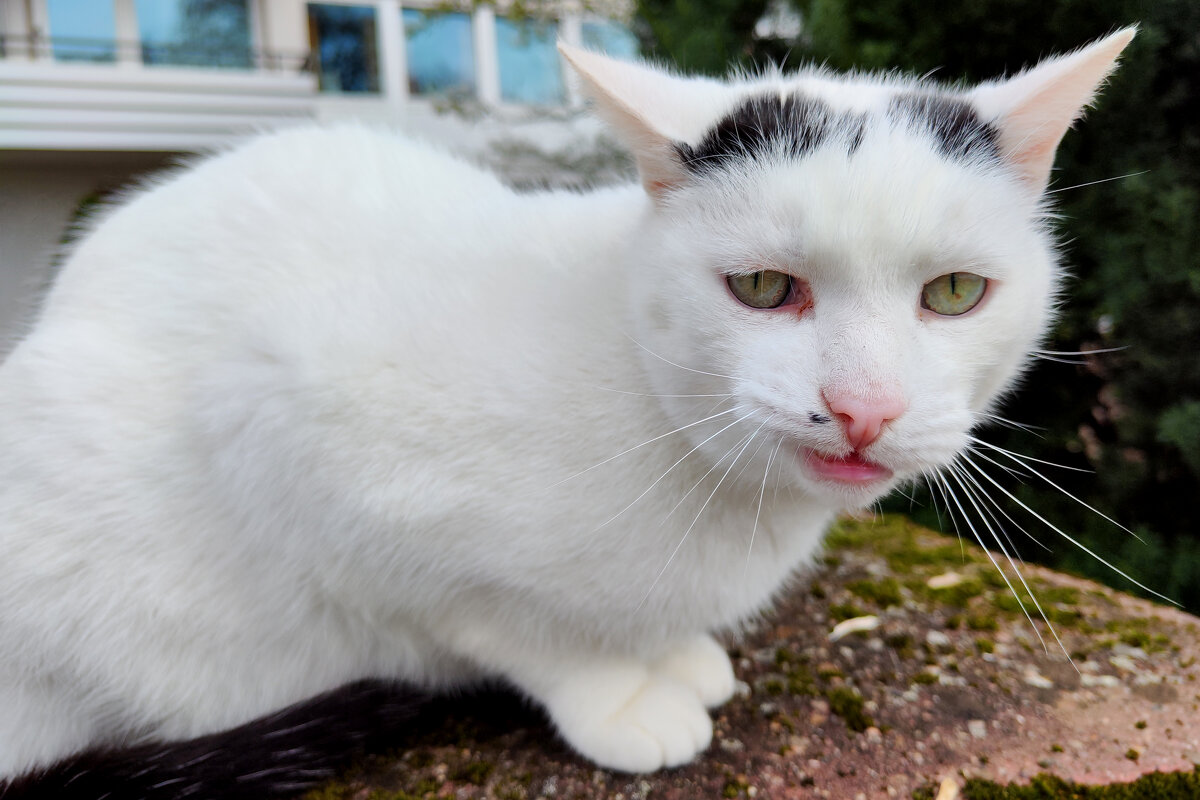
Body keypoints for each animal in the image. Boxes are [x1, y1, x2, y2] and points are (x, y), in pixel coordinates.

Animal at [0, 26, 1132, 796]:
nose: (862, 407)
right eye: (764, 287)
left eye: (954, 292)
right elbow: (501, 621)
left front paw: (674, 652)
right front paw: (619, 690)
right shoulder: (300, 428)